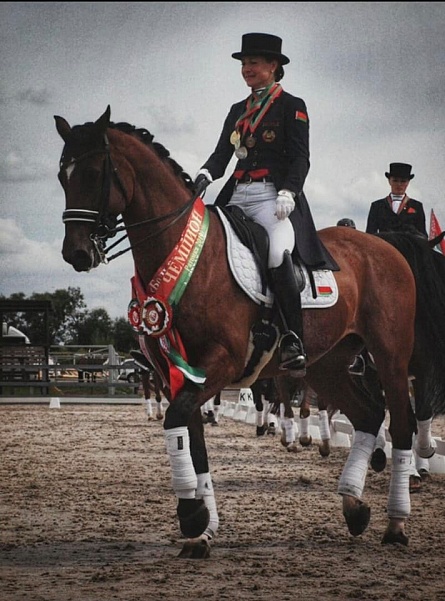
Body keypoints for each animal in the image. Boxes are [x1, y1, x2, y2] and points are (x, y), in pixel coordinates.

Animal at [53, 104, 442, 556]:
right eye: (62, 175)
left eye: (95, 171)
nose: (76, 253)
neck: (187, 255)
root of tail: (387, 245)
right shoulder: (178, 372)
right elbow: (191, 441)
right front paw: (202, 530)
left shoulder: (221, 362)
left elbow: (177, 422)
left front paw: (191, 516)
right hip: (327, 364)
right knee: (368, 415)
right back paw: (354, 507)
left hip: (390, 357)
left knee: (399, 424)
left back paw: (396, 522)